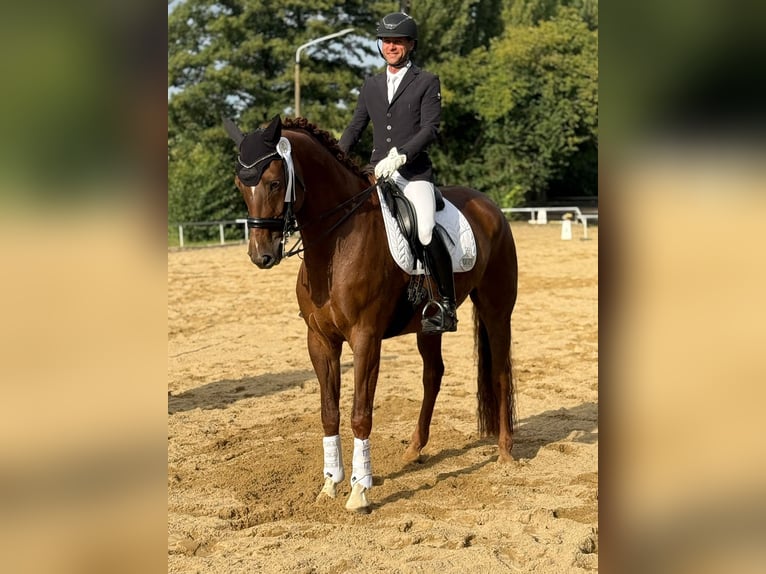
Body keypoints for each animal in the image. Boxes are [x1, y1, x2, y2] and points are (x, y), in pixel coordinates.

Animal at [224, 115, 517, 513]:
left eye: (274, 182)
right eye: (241, 184)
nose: (261, 255)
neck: (334, 247)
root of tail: (490, 207)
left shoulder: (365, 339)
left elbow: (360, 414)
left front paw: (360, 490)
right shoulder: (320, 340)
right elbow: (329, 412)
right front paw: (330, 483)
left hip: (496, 309)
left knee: (500, 373)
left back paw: (505, 452)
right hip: (427, 326)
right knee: (433, 375)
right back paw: (414, 449)